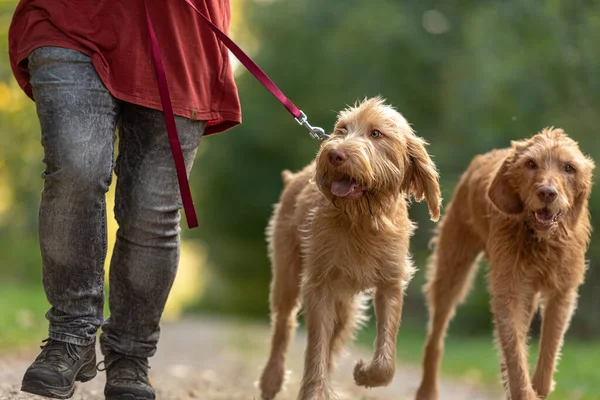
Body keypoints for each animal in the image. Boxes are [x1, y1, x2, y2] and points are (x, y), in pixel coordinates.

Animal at [258, 97, 440, 400]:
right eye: (342, 129)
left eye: (376, 133)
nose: (334, 154)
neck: (363, 219)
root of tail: (295, 177)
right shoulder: (319, 286)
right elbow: (316, 349)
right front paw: (314, 393)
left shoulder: (390, 284)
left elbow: (386, 359)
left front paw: (365, 374)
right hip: (287, 276)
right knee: (284, 325)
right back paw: (271, 380)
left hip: (346, 306)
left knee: (334, 342)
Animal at [414, 128, 592, 400]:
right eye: (531, 164)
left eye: (569, 167)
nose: (547, 193)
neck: (541, 240)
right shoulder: (509, 290)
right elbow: (514, 351)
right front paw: (524, 391)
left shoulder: (562, 292)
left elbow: (548, 350)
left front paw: (537, 387)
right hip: (453, 269)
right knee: (436, 335)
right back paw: (427, 389)